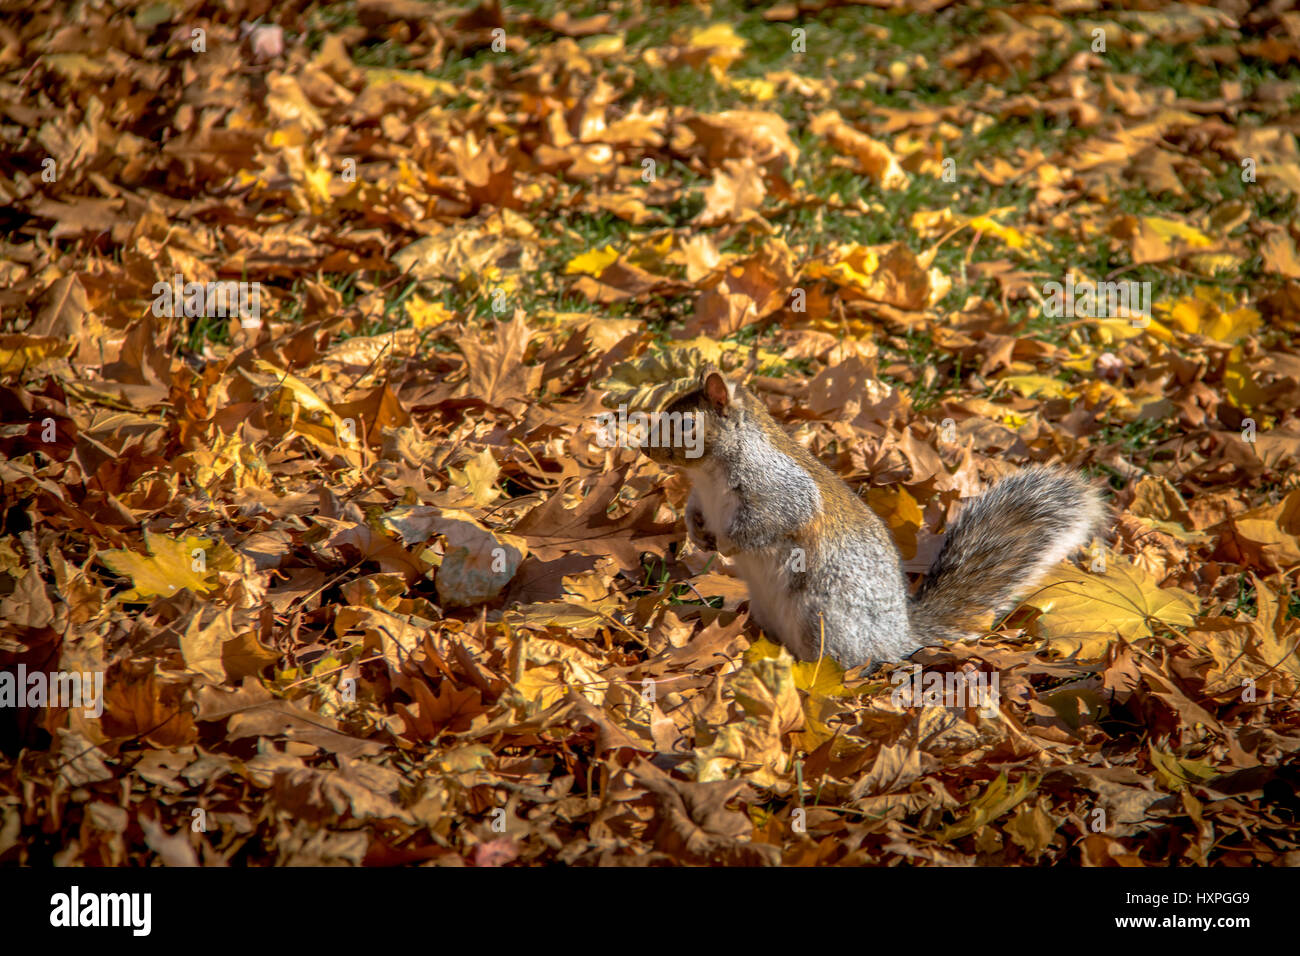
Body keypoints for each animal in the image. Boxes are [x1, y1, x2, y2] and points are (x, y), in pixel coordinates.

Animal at [642, 369, 1107, 671]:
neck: (708, 473)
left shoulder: (779, 489)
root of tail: (898, 637)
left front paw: (727, 544)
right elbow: (694, 511)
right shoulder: (702, 496)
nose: (645, 448)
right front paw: (699, 534)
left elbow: (770, 522)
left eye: (686, 423)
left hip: (822, 619)